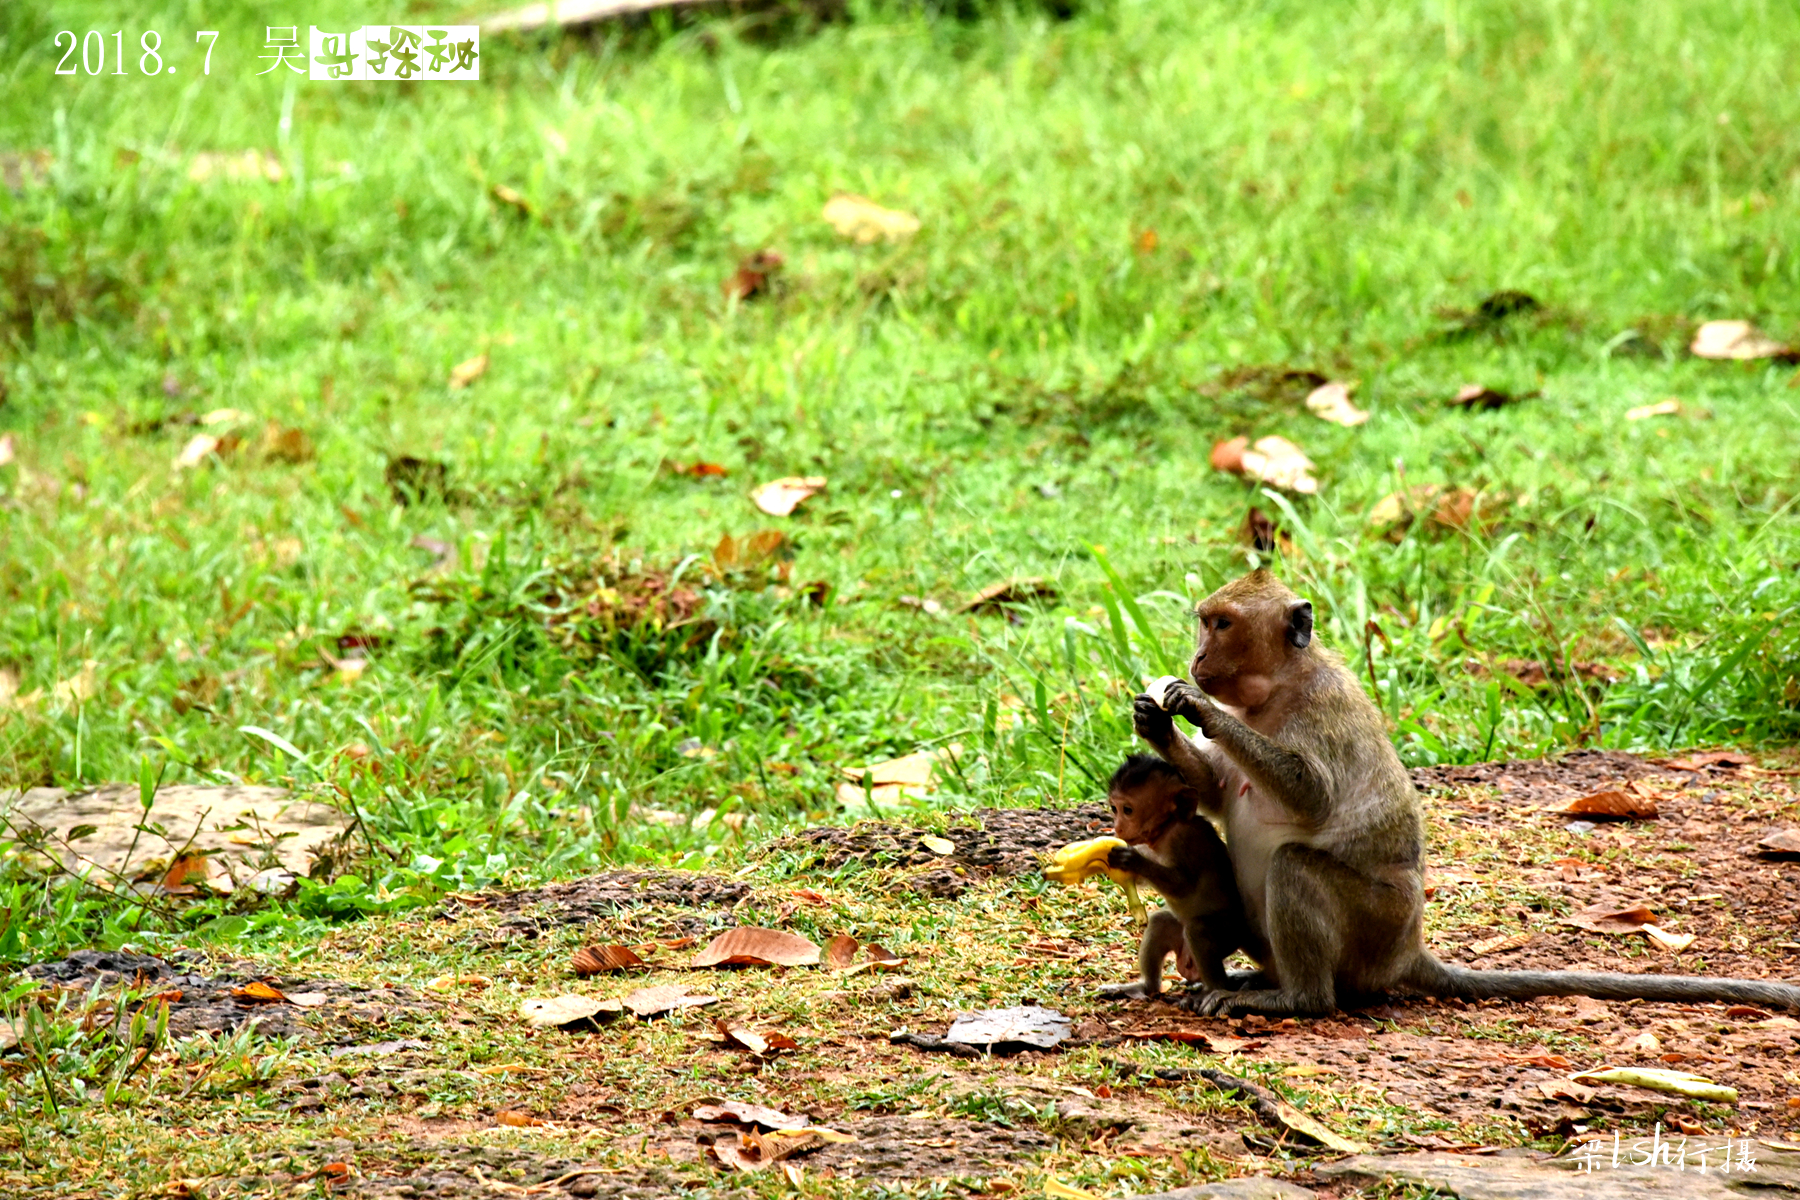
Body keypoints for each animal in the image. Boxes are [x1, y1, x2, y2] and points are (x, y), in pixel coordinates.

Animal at [1087, 755, 1260, 1000]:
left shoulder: (1184, 839)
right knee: (1161, 923)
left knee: (1198, 933)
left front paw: (1132, 860)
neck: (1165, 830)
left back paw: (1214, 991)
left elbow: (1182, 885)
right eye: (1114, 808)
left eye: (1127, 810)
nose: (1117, 827)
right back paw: (1144, 987)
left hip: (1229, 933)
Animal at [1130, 572, 1800, 1014]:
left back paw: (1293, 999)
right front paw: (1154, 720)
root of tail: (1407, 950)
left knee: (1296, 869)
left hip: (1374, 924)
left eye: (1221, 624)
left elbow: (1310, 796)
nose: (1196, 659)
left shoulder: (1324, 711)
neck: (1276, 690)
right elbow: (1214, 792)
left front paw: (1196, 708)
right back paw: (1244, 980)